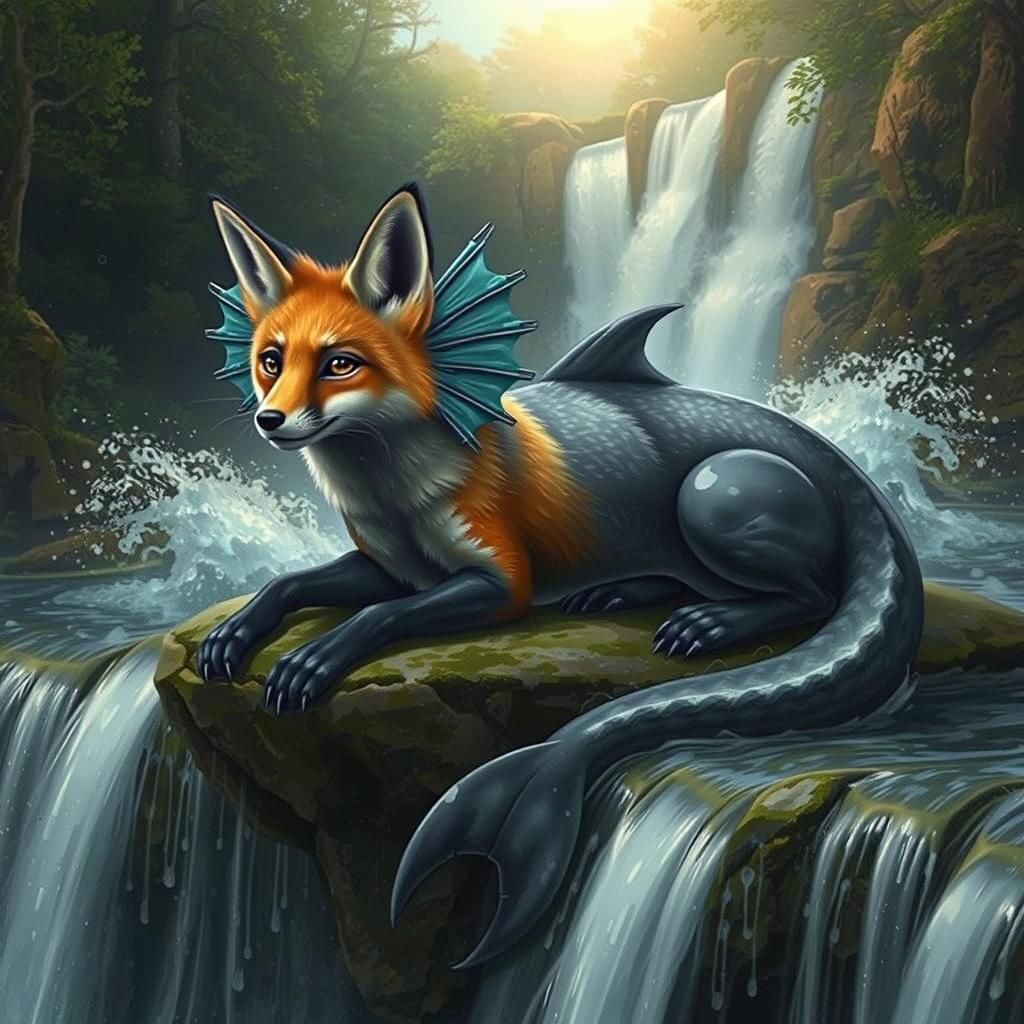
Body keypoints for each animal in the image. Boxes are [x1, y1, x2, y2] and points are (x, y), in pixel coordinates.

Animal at [199, 183, 923, 970]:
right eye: (271, 360)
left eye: (339, 364)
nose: (271, 420)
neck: (392, 490)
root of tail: (851, 475)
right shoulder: (387, 567)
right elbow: (290, 585)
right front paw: (234, 635)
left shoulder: (498, 583)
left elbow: (376, 618)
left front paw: (309, 662)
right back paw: (618, 592)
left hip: (709, 491)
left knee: (808, 594)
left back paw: (711, 624)